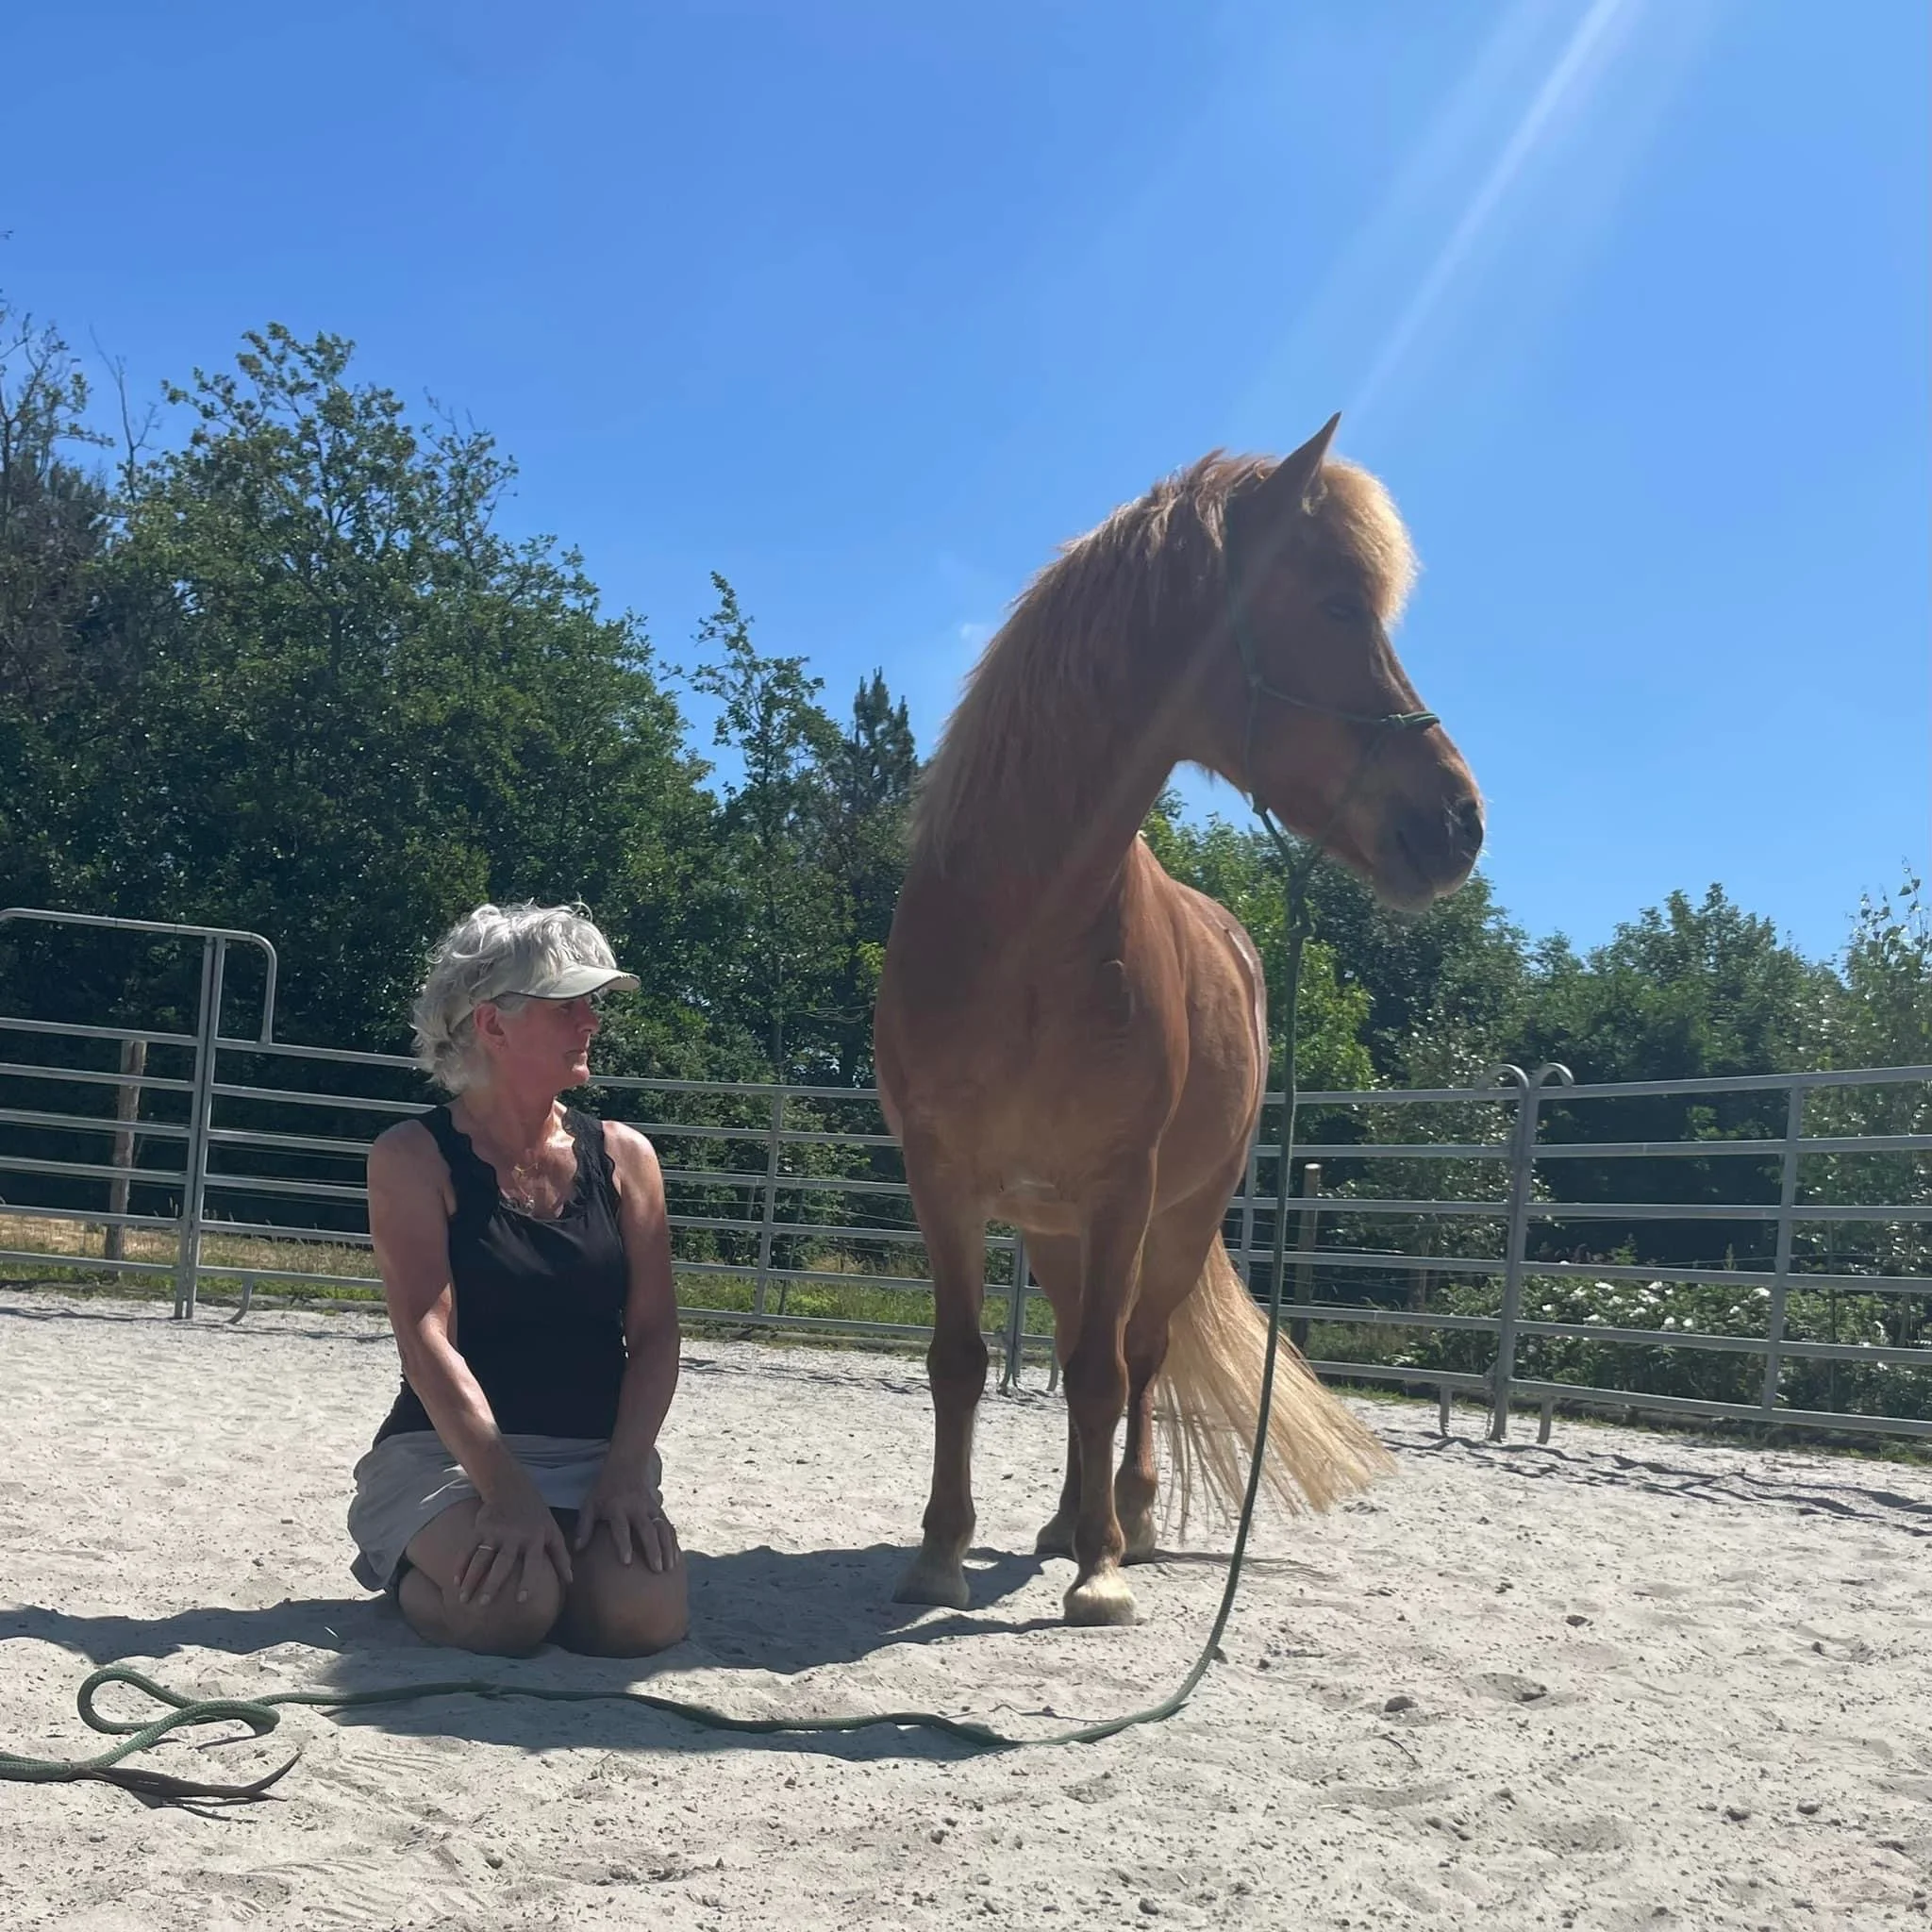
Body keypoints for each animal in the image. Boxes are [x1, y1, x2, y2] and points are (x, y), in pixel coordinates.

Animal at [873, 414, 1484, 1627]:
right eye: (1336, 605)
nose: (1459, 818)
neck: (1020, 939)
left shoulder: (1124, 1185)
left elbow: (1109, 1371)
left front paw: (1102, 1570)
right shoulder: (942, 1176)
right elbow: (959, 1359)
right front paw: (938, 1551)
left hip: (1175, 1215)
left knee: (1136, 1353)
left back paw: (1123, 1521)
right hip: (1054, 1227)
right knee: (1079, 1342)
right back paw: (1064, 1520)